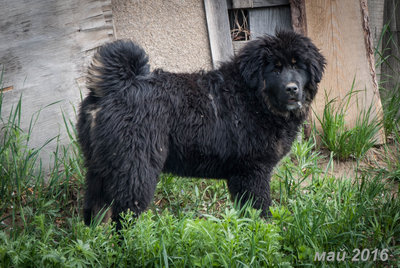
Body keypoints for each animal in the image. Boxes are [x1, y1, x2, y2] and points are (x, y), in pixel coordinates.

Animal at [77, 30, 324, 226]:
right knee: (125, 216)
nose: (292, 89)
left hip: (100, 167)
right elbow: (259, 210)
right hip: (136, 168)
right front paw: (265, 234)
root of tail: (117, 86)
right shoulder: (252, 171)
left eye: (298, 65)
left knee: (95, 210)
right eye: (275, 69)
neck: (253, 98)